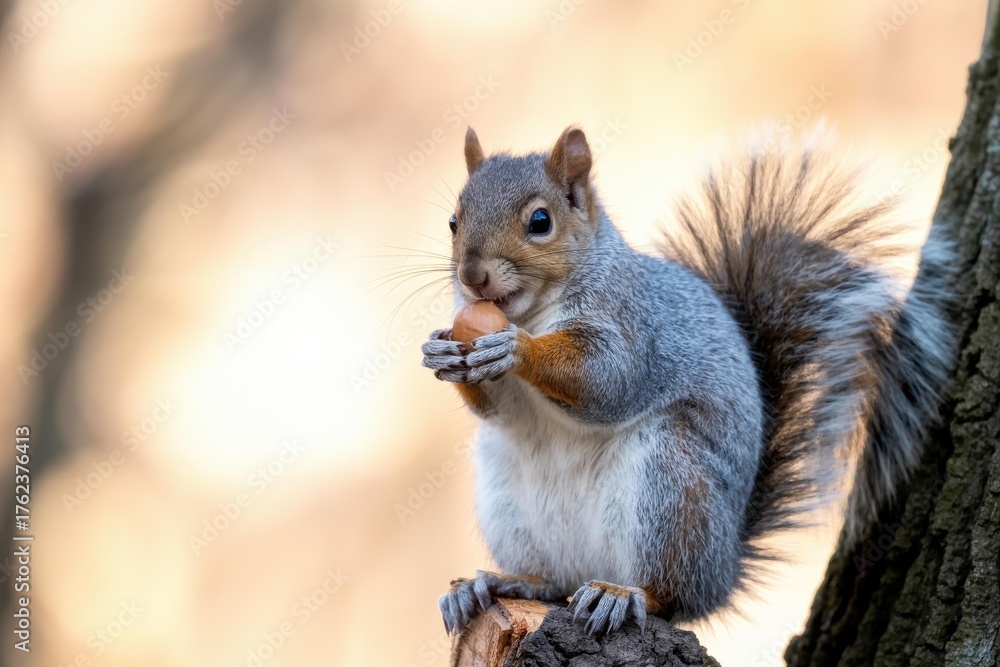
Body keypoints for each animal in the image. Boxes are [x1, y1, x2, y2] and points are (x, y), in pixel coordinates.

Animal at [420, 125, 956, 635]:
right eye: (453, 221)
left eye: (540, 222)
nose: (472, 277)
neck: (533, 311)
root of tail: (726, 566)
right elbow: (500, 408)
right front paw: (442, 348)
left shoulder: (632, 324)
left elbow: (606, 380)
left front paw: (516, 348)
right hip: (508, 497)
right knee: (552, 582)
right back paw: (501, 583)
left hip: (672, 486)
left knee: (673, 595)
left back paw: (624, 595)